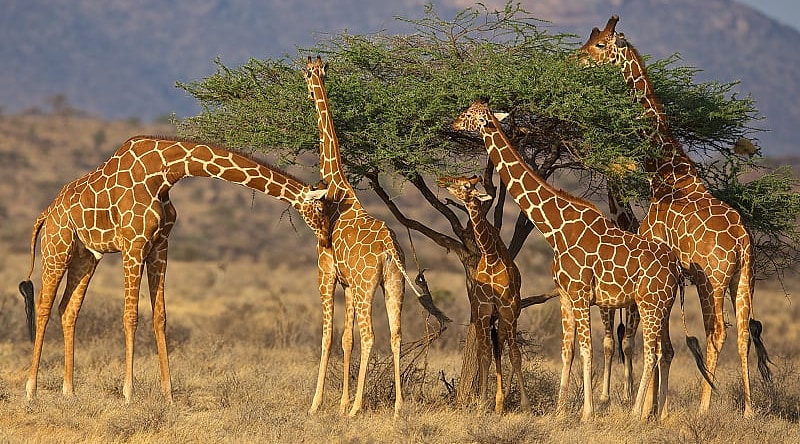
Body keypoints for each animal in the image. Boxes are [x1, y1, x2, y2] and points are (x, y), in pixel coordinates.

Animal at [18, 136, 330, 403]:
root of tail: (45, 213)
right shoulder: (133, 245)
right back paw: (31, 390)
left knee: (68, 309)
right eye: (320, 209)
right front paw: (128, 393)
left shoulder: (160, 245)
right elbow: (130, 316)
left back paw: (69, 391)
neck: (165, 172)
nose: (327, 237)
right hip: (57, 248)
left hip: (86, 256)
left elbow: (160, 317)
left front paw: (168, 395)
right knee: (44, 306)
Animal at [303, 56, 446, 417]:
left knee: (371, 337)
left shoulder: (327, 274)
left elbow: (328, 337)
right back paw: (397, 406)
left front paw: (318, 404)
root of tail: (389, 249)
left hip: (369, 284)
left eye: (305, 73)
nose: (308, 88)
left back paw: (358, 407)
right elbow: (346, 339)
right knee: (395, 335)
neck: (338, 189)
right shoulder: (348, 283)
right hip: (394, 283)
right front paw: (340, 403)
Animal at [436, 175, 530, 413]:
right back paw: (495, 401)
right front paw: (482, 403)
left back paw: (501, 402)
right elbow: (485, 355)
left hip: (506, 318)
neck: (490, 256)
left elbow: (515, 355)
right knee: (488, 350)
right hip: (485, 319)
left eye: (465, 185)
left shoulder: (509, 311)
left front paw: (525, 404)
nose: (442, 179)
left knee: (502, 348)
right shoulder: (483, 311)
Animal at [452, 99, 696, 421]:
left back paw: (635, 414)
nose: (453, 123)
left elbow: (587, 350)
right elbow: (567, 350)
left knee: (651, 351)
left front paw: (587, 413)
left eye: (469, 115)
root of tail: (677, 268)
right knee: (664, 350)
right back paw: (659, 414)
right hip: (662, 307)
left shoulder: (581, 294)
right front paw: (559, 411)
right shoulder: (566, 296)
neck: (555, 228)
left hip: (649, 304)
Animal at [579, 15, 770, 417]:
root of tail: (742, 244)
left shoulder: (661, 261)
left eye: (601, 45)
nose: (574, 60)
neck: (665, 174)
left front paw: (649, 409)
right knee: (744, 333)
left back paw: (704, 407)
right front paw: (654, 408)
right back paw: (747, 409)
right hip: (744, 279)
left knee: (718, 332)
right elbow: (662, 343)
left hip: (711, 281)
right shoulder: (673, 274)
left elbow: (659, 342)